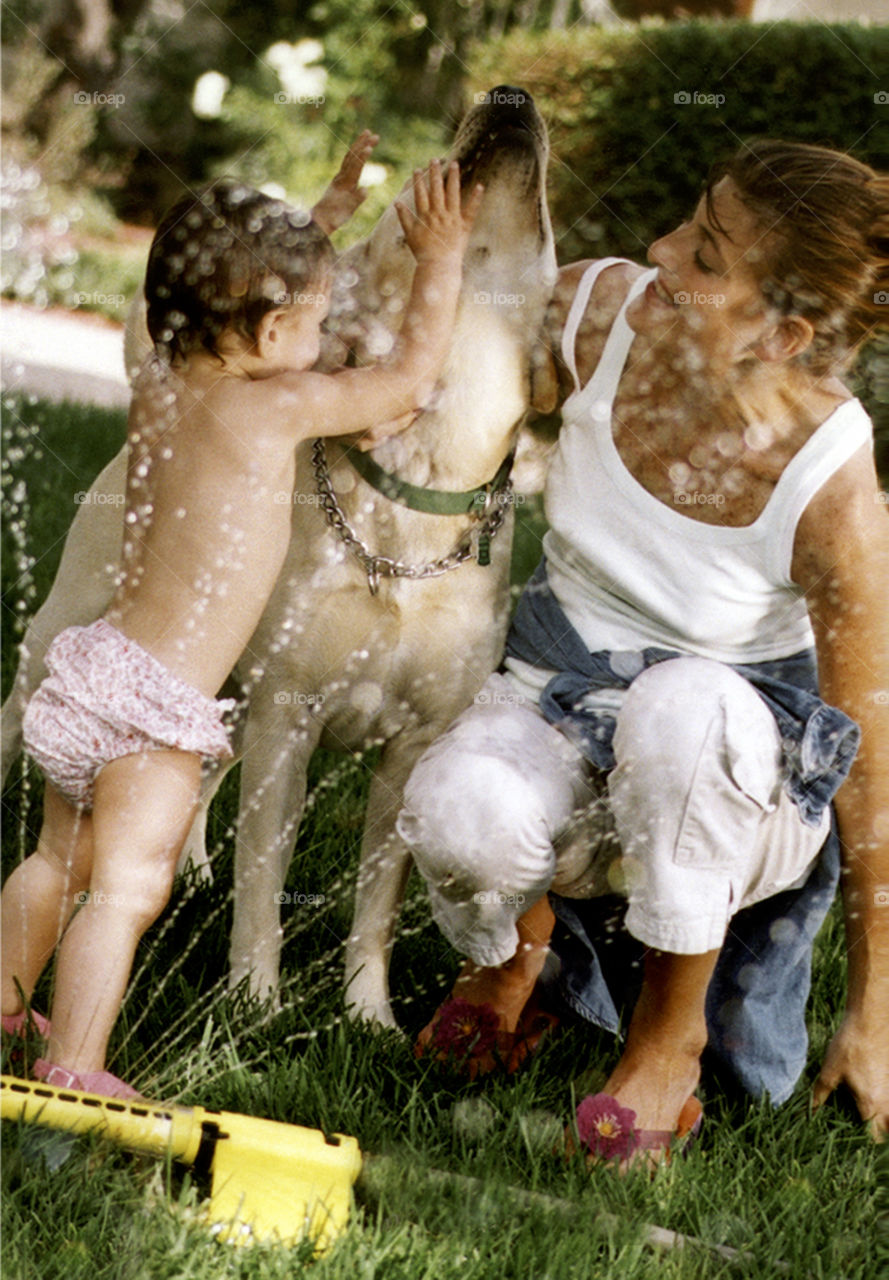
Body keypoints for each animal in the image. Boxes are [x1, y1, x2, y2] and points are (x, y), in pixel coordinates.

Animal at [0, 87, 557, 1029]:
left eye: (550, 225)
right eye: (404, 206)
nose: (511, 96)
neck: (416, 487)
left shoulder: (409, 751)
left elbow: (376, 904)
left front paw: (368, 1013)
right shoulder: (288, 720)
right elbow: (264, 878)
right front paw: (254, 1002)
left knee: (202, 772)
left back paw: (189, 865)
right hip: (67, 633)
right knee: (20, 713)